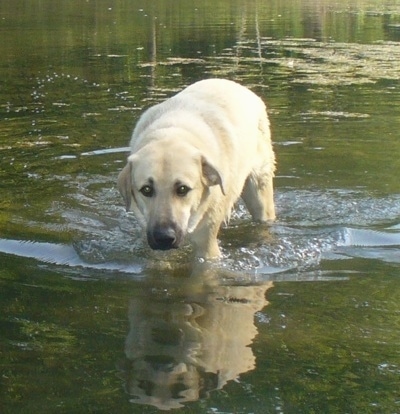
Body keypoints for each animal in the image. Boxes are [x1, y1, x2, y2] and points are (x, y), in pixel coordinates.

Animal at [117, 78, 276, 258]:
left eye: (182, 189)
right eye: (146, 190)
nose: (164, 237)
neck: (171, 134)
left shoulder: (206, 244)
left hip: (260, 192)